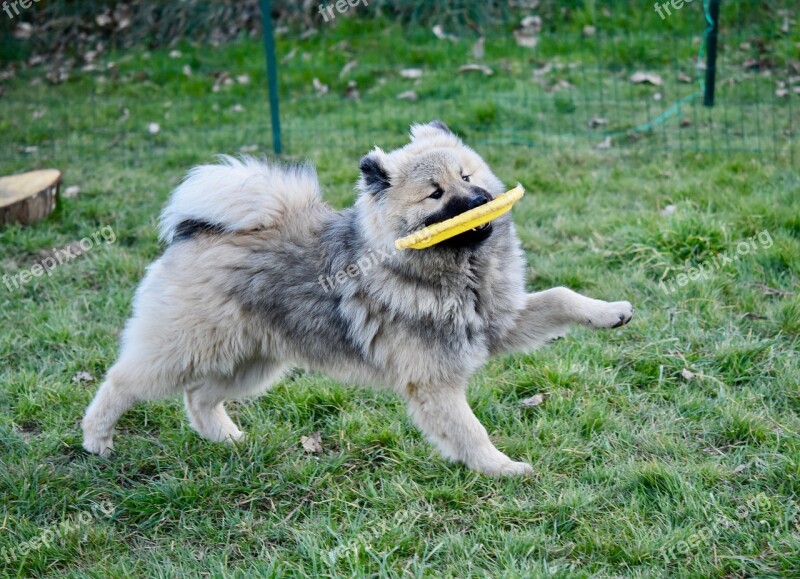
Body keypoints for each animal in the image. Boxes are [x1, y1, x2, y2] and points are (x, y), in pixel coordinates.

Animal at [81, 121, 632, 476]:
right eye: (435, 194)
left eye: (467, 177)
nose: (480, 202)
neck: (459, 273)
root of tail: (199, 232)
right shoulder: (433, 380)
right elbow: (470, 431)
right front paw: (501, 468)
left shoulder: (500, 323)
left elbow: (561, 296)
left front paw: (610, 313)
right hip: (185, 349)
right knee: (122, 381)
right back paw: (96, 439)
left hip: (254, 362)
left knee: (199, 397)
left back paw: (229, 440)